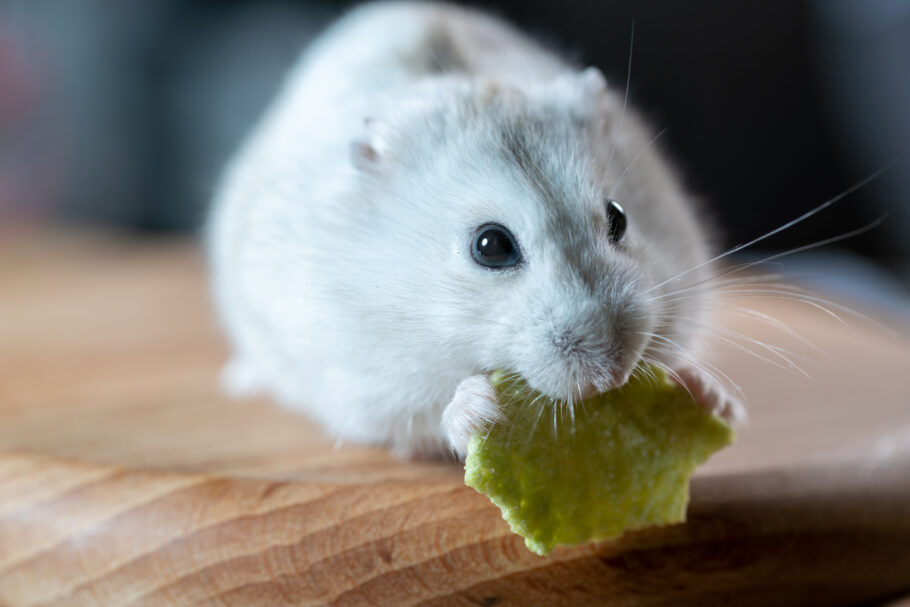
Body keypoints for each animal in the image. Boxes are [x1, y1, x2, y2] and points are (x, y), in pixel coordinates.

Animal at [210, 1, 744, 460]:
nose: (610, 375)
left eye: (619, 218)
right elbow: (428, 412)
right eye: (490, 246)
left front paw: (711, 397)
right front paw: (479, 411)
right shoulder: (363, 381)